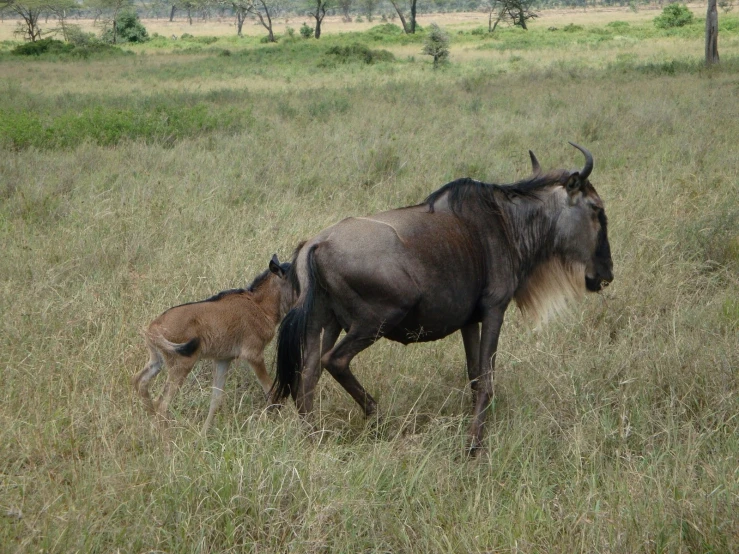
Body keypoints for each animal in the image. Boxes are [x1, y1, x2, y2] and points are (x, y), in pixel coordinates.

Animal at [134, 254, 296, 432]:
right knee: (161, 404)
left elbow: (216, 399)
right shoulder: (254, 355)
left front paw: (203, 434)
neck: (259, 305)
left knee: (140, 382)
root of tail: (154, 327)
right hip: (182, 365)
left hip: (157, 361)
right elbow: (271, 390)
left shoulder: (222, 359)